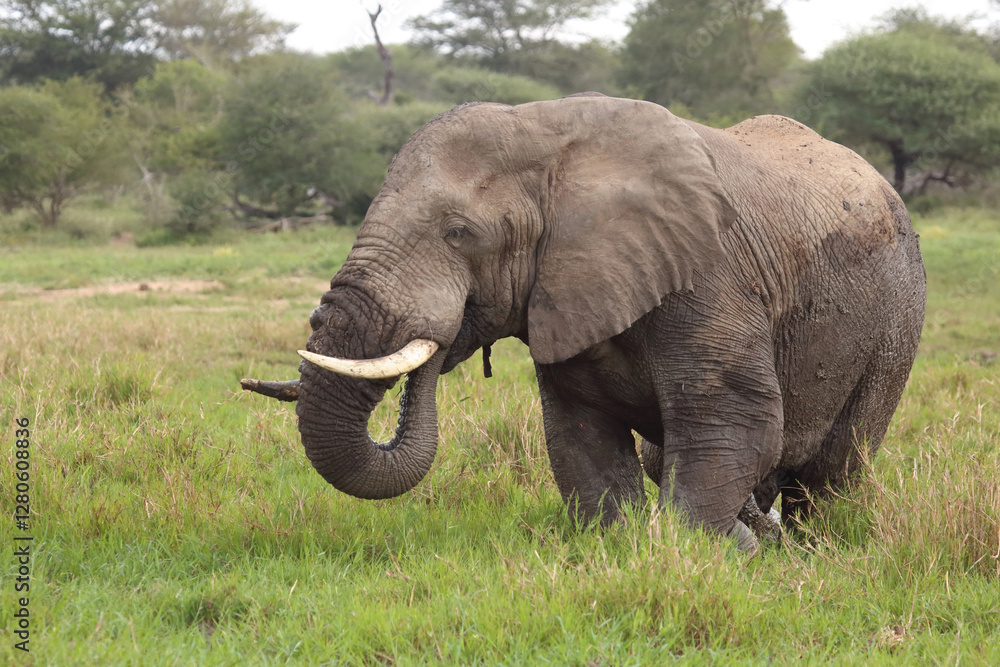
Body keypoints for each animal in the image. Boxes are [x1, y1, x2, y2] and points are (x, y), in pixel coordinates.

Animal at [242, 94, 925, 551]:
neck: (547, 138)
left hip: (896, 323)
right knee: (665, 456)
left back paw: (804, 548)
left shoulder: (710, 273)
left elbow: (735, 423)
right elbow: (580, 434)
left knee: (834, 471)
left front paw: (690, 557)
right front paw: (622, 549)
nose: (446, 330)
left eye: (459, 233)